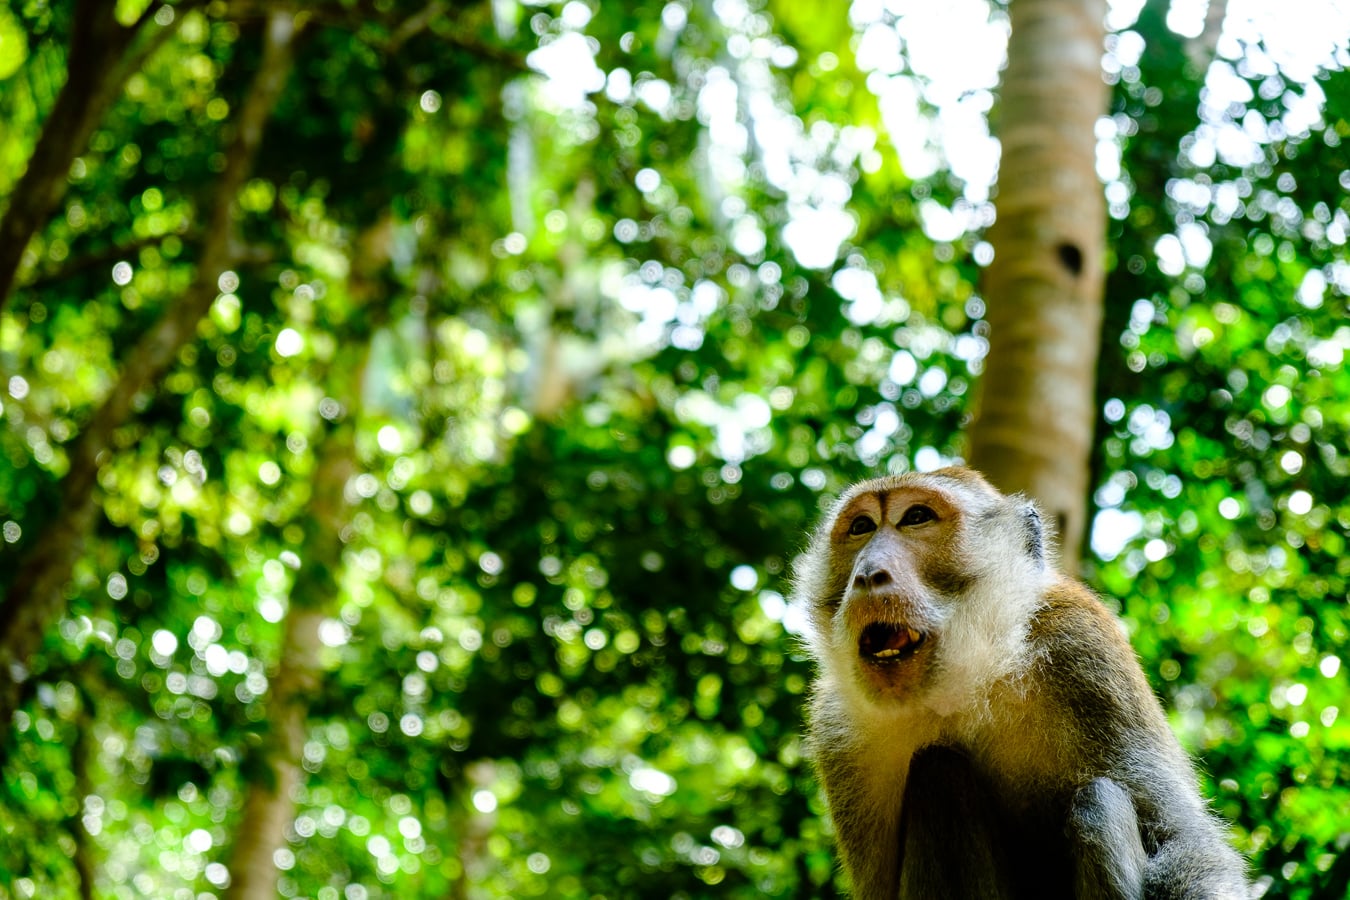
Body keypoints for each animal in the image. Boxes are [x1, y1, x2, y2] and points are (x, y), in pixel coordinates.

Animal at [793, 469, 1247, 895]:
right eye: (861, 526)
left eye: (917, 517)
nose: (869, 574)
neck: (964, 684)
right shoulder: (837, 729)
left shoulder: (1083, 644)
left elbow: (1180, 837)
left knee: (1098, 804)